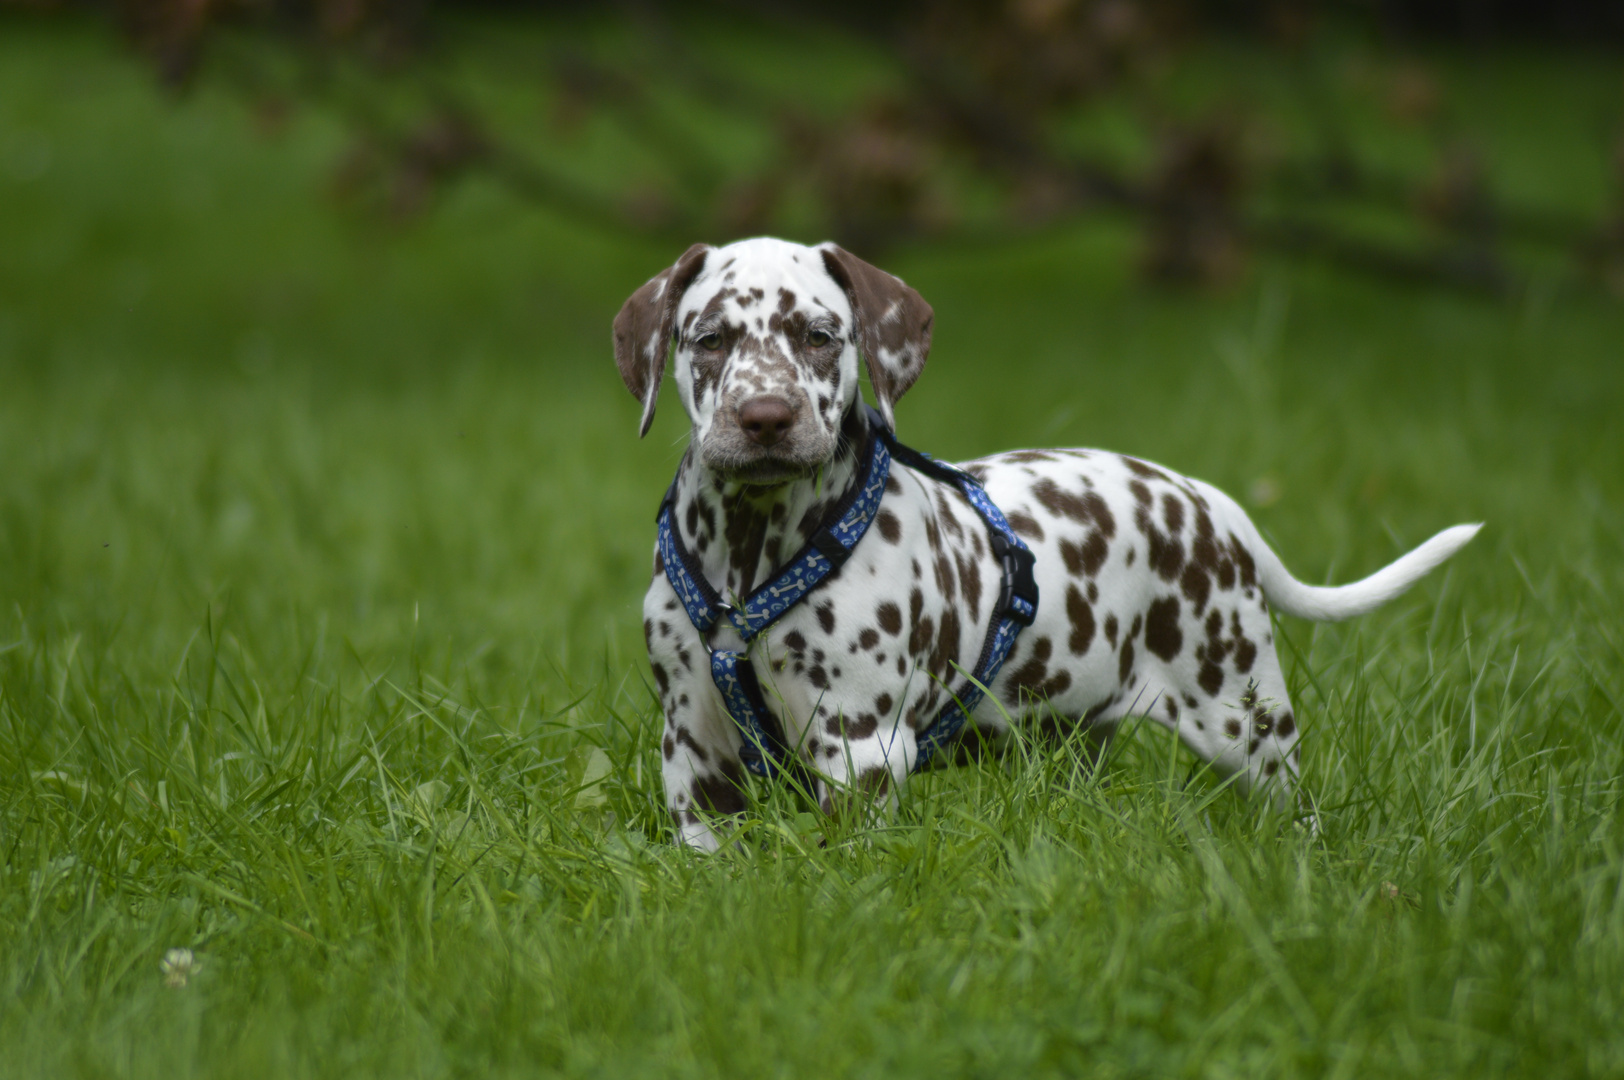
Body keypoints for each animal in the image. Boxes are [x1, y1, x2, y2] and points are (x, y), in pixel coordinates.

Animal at [617, 238, 1487, 851]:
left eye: (819, 335)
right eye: (710, 338)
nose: (765, 418)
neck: (750, 552)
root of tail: (1201, 497)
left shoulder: (861, 749)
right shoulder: (694, 753)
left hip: (1246, 721)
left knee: (1293, 809)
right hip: (1075, 735)